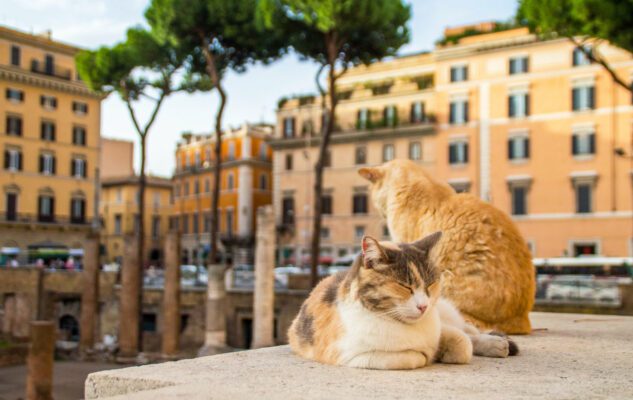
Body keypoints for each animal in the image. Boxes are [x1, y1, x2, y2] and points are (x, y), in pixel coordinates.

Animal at [288, 233, 516, 370]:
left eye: (430, 284)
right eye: (405, 286)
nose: (424, 305)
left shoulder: (440, 327)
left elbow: (462, 342)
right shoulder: (355, 357)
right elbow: (415, 356)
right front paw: (432, 354)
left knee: (469, 330)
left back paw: (496, 342)